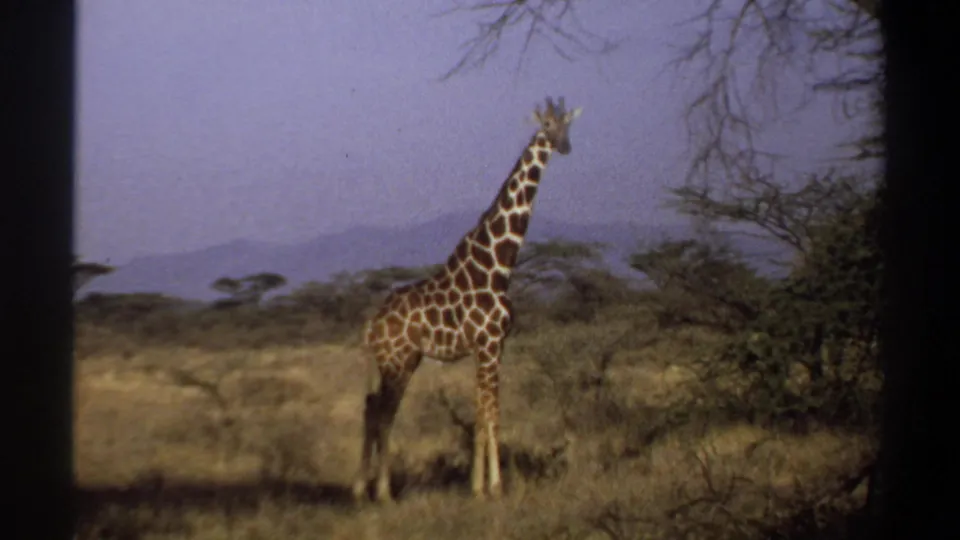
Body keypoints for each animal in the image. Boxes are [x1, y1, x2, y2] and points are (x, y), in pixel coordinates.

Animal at [352, 96, 583, 503]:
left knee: (373, 410)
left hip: (402, 361)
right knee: (383, 414)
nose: (564, 146)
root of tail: (371, 325)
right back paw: (383, 492)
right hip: (395, 362)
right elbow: (492, 415)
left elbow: (482, 414)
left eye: (567, 125)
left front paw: (479, 485)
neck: (497, 266)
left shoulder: (493, 346)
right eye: (547, 126)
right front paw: (494, 486)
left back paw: (364, 489)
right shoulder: (488, 344)